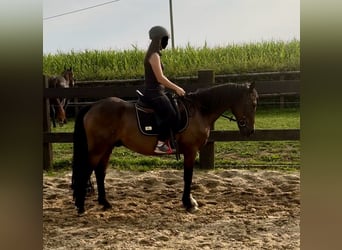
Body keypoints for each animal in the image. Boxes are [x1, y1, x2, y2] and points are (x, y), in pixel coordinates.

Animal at [73, 81, 260, 213]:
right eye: (254, 104)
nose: (250, 131)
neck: (199, 111)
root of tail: (93, 106)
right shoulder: (191, 151)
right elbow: (188, 177)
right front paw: (189, 203)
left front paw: (188, 201)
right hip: (98, 149)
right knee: (86, 171)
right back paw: (81, 206)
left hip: (107, 148)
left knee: (100, 173)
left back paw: (105, 203)